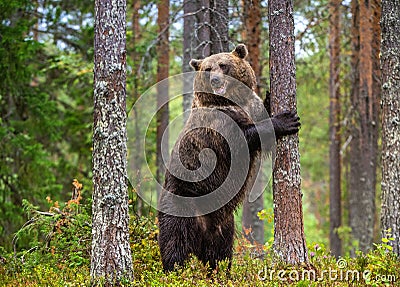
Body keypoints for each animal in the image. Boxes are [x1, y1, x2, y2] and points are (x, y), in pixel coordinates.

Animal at [156, 44, 300, 272]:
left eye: (223, 65)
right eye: (207, 69)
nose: (215, 79)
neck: (232, 101)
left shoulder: (251, 107)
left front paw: (270, 98)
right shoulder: (218, 125)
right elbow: (244, 138)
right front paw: (286, 120)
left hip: (224, 225)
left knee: (220, 254)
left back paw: (221, 272)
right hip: (181, 205)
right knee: (175, 244)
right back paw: (173, 271)